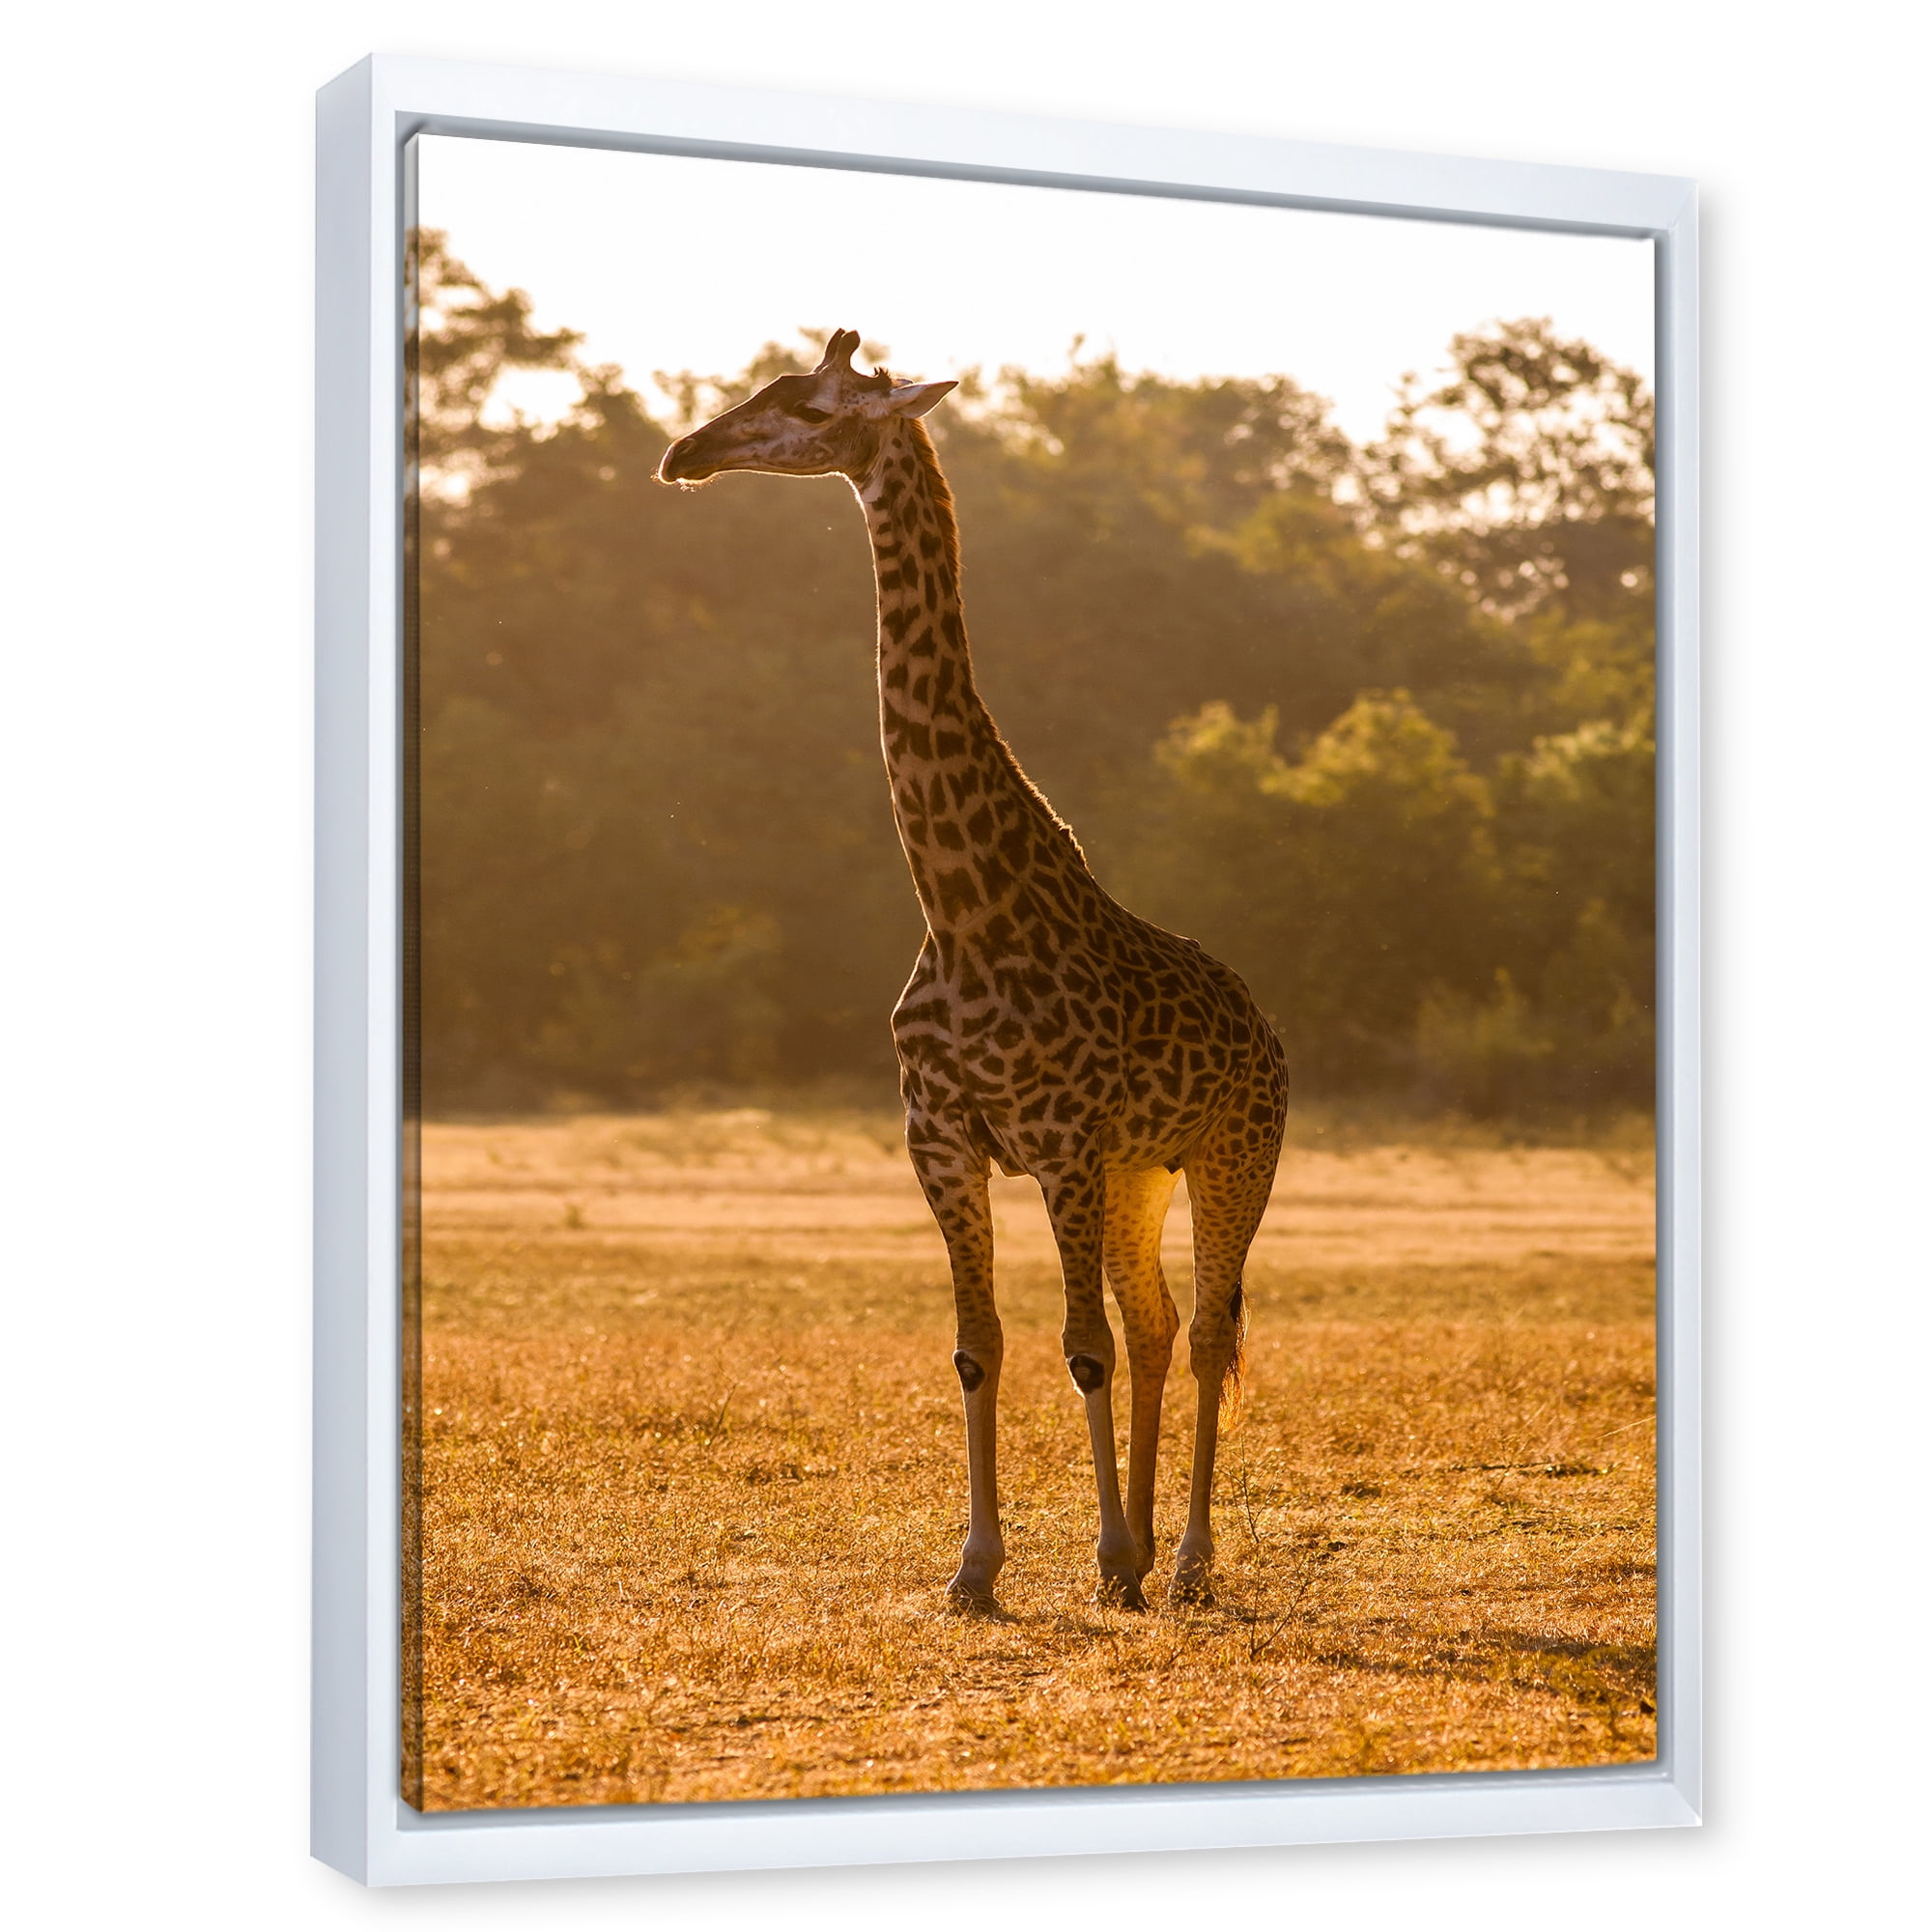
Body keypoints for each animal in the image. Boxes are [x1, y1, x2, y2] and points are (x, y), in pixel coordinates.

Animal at [658, 330, 1288, 1612]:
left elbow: (1078, 1347)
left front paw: (1103, 1554)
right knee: (1156, 1325)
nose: (683, 452)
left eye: (808, 406)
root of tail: (1268, 1030)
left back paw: (1183, 1559)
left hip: (1230, 1153)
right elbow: (978, 1344)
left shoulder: (1057, 1142)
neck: (959, 908)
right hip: (1139, 1172)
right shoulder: (943, 1142)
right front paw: (979, 1568)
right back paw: (1147, 1544)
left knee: (1203, 1330)